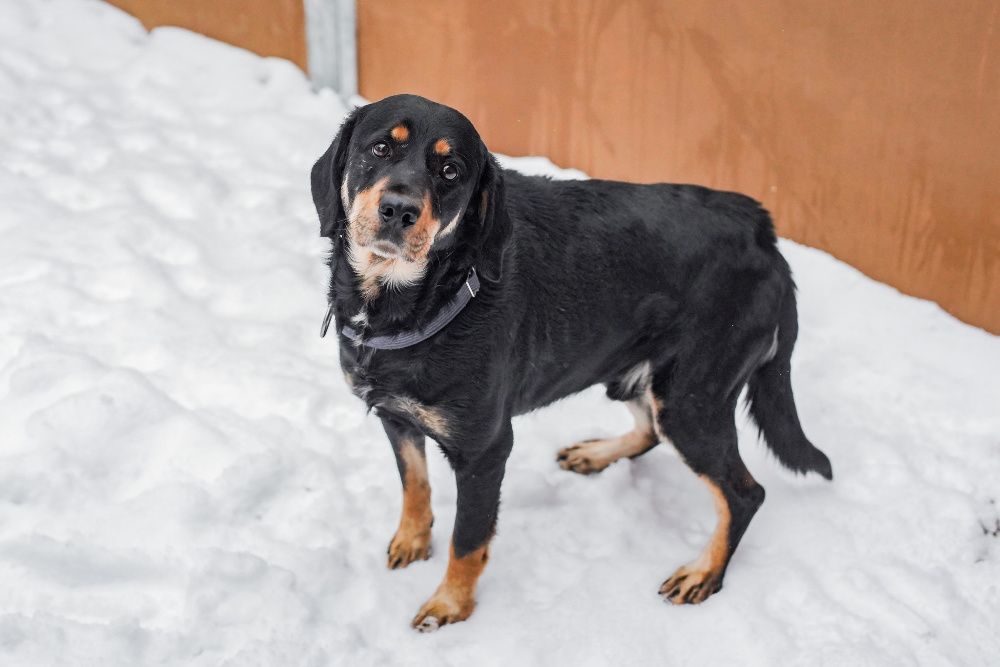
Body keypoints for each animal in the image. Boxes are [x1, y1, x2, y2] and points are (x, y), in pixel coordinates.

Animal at [308, 92, 832, 632]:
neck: (415, 301)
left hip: (691, 399)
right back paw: (597, 454)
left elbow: (468, 541)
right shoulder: (395, 417)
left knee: (745, 494)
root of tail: (764, 235)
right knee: (649, 431)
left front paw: (450, 606)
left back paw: (704, 572)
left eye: (450, 171)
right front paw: (413, 540)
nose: (398, 210)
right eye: (380, 148)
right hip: (633, 371)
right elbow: (414, 486)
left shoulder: (485, 451)